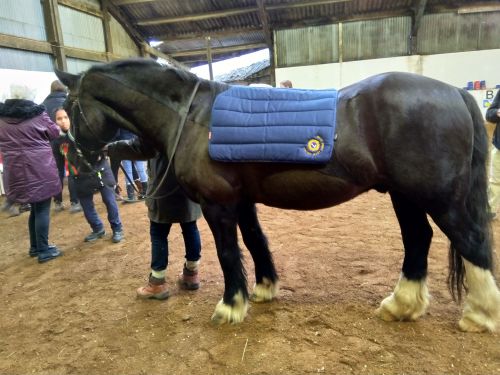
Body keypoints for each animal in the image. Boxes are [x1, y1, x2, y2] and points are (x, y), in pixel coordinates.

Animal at [55, 58, 500, 332]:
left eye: (70, 107)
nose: (76, 159)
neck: (193, 117)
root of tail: (455, 93)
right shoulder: (242, 202)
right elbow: (256, 242)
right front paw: (265, 289)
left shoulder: (218, 205)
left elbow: (229, 253)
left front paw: (230, 306)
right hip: (404, 194)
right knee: (418, 240)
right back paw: (401, 305)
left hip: (438, 198)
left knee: (471, 241)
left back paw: (480, 315)